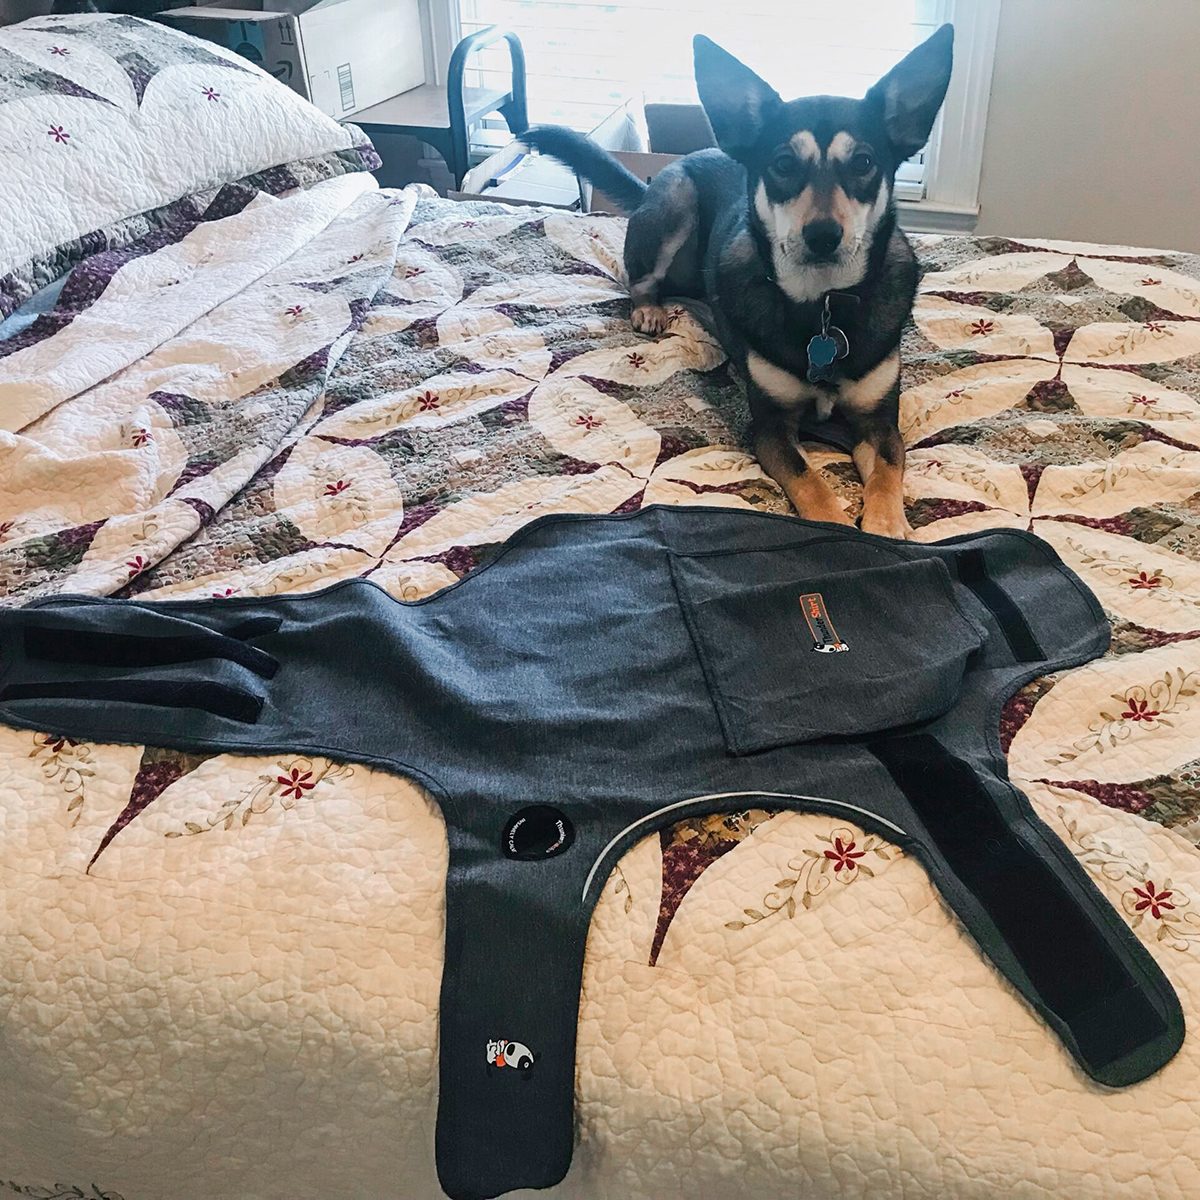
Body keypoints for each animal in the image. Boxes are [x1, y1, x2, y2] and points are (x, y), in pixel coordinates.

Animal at [520, 24, 950, 540]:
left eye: (864, 162)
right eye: (783, 164)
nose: (823, 235)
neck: (822, 305)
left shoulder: (879, 422)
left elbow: (888, 470)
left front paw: (887, 526)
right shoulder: (769, 425)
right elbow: (811, 481)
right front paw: (836, 524)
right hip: (674, 199)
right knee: (640, 279)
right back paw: (649, 308)